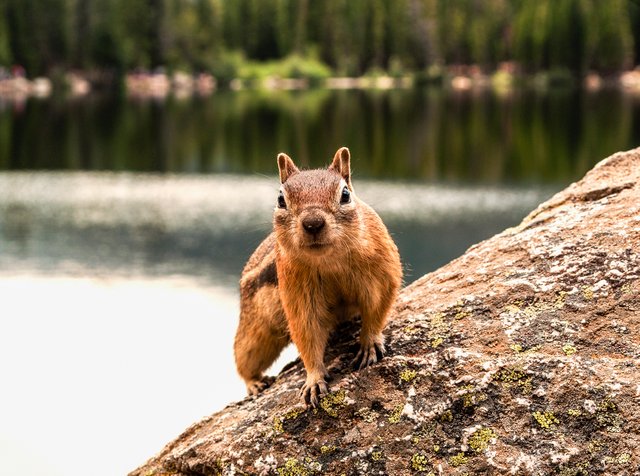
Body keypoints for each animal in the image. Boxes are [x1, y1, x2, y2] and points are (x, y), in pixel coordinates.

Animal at [235, 148, 400, 406]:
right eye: (281, 199)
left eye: (345, 194)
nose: (313, 223)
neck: (329, 260)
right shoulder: (298, 294)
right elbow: (307, 333)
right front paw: (314, 379)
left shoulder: (381, 276)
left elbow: (376, 309)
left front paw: (369, 343)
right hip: (255, 331)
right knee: (244, 357)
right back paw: (255, 383)